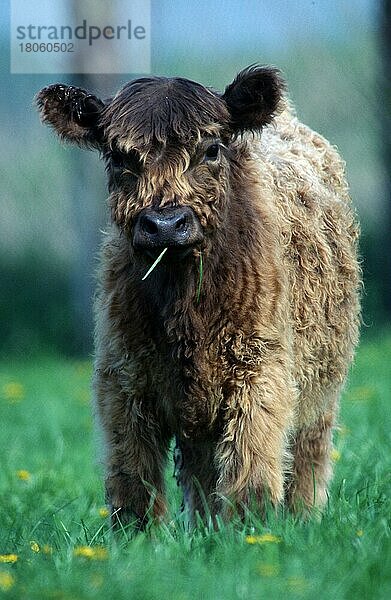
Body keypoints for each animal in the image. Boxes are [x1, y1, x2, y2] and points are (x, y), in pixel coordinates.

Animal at [37, 65, 362, 524]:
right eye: (119, 157)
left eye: (210, 149)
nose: (165, 224)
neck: (186, 310)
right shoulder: (123, 380)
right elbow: (133, 484)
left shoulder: (260, 370)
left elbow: (251, 470)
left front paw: (252, 530)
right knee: (201, 473)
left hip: (322, 389)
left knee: (307, 458)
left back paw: (302, 518)